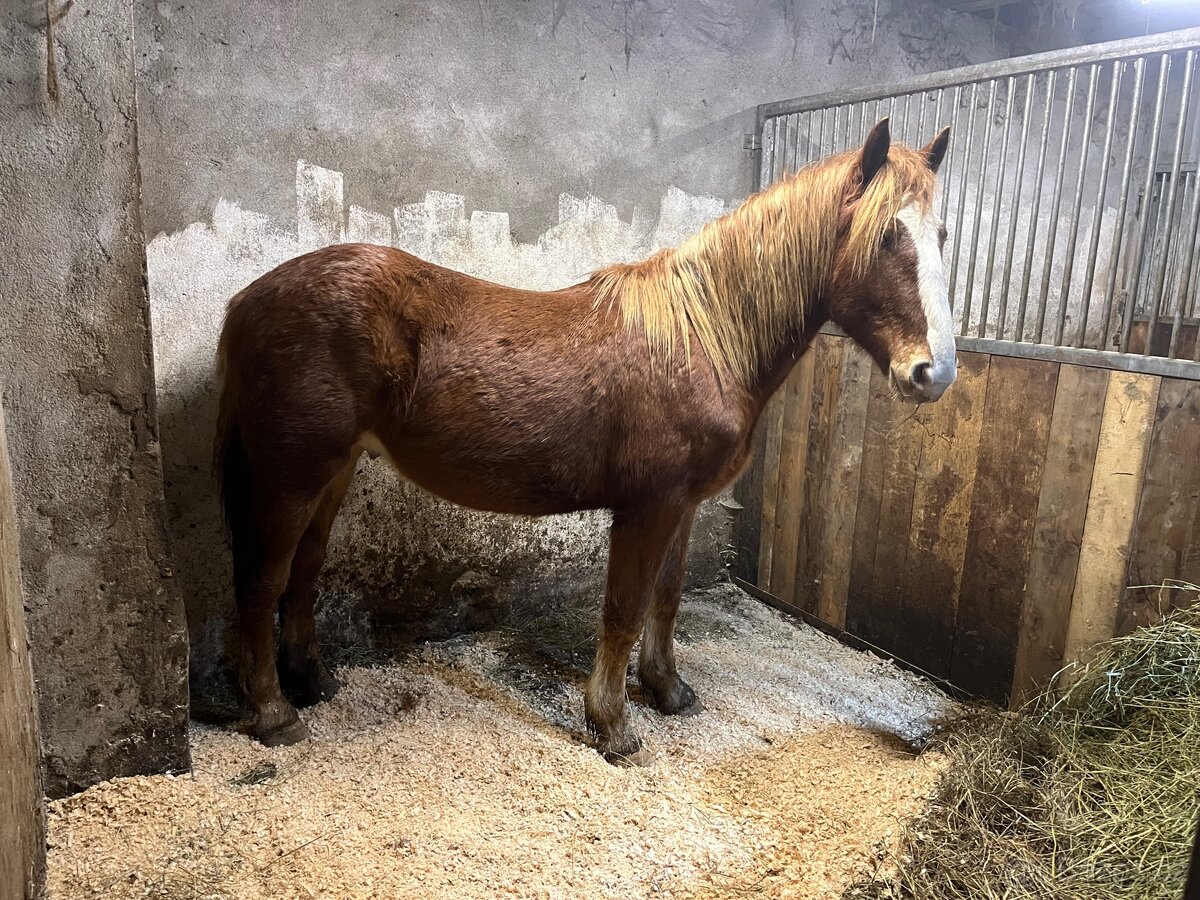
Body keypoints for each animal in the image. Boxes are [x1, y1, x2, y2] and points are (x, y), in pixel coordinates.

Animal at [214, 118, 955, 764]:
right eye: (887, 236)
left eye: (942, 233)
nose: (934, 373)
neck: (703, 337)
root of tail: (245, 302)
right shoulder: (649, 506)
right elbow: (624, 609)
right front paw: (613, 724)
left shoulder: (685, 504)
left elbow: (666, 597)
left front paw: (668, 690)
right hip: (292, 475)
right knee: (262, 580)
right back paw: (275, 714)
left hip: (332, 472)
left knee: (302, 574)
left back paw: (313, 684)